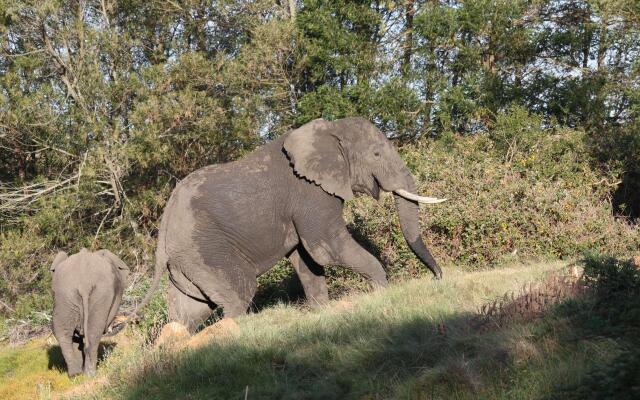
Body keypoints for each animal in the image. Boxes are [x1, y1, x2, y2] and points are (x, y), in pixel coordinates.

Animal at [51, 248, 130, 376]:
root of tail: (84, 284)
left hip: (64, 296)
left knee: (63, 332)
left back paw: (76, 374)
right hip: (102, 294)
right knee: (93, 332)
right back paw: (90, 374)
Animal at [134, 117, 444, 330]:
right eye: (377, 154)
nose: (438, 277)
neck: (330, 130)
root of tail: (162, 230)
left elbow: (306, 259)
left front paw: (322, 313)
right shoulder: (309, 192)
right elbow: (326, 248)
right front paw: (382, 292)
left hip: (187, 261)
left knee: (189, 312)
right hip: (205, 249)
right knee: (239, 293)